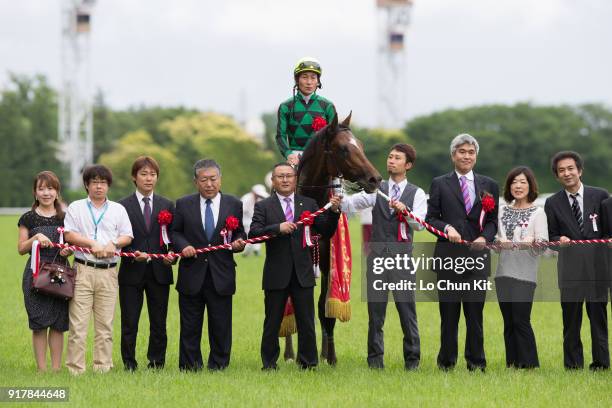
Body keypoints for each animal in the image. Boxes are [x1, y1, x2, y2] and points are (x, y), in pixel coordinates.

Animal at [284, 111, 380, 364]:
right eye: (344, 149)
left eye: (361, 145)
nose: (375, 179)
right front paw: (301, 356)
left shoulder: (327, 262)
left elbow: (323, 308)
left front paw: (330, 356)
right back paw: (288, 352)